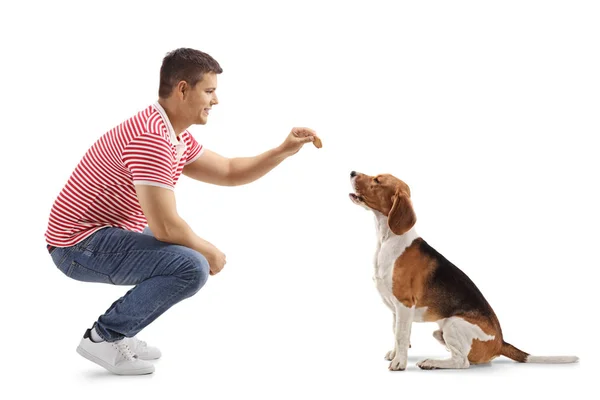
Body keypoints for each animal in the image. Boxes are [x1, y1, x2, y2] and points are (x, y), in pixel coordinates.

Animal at [350, 170, 580, 370]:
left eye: (377, 180)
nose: (352, 172)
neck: (388, 239)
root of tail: (500, 342)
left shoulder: (404, 304)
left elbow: (401, 335)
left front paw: (400, 362)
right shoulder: (395, 309)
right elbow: (396, 332)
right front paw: (395, 353)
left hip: (452, 324)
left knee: (462, 362)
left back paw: (431, 362)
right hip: (440, 332)